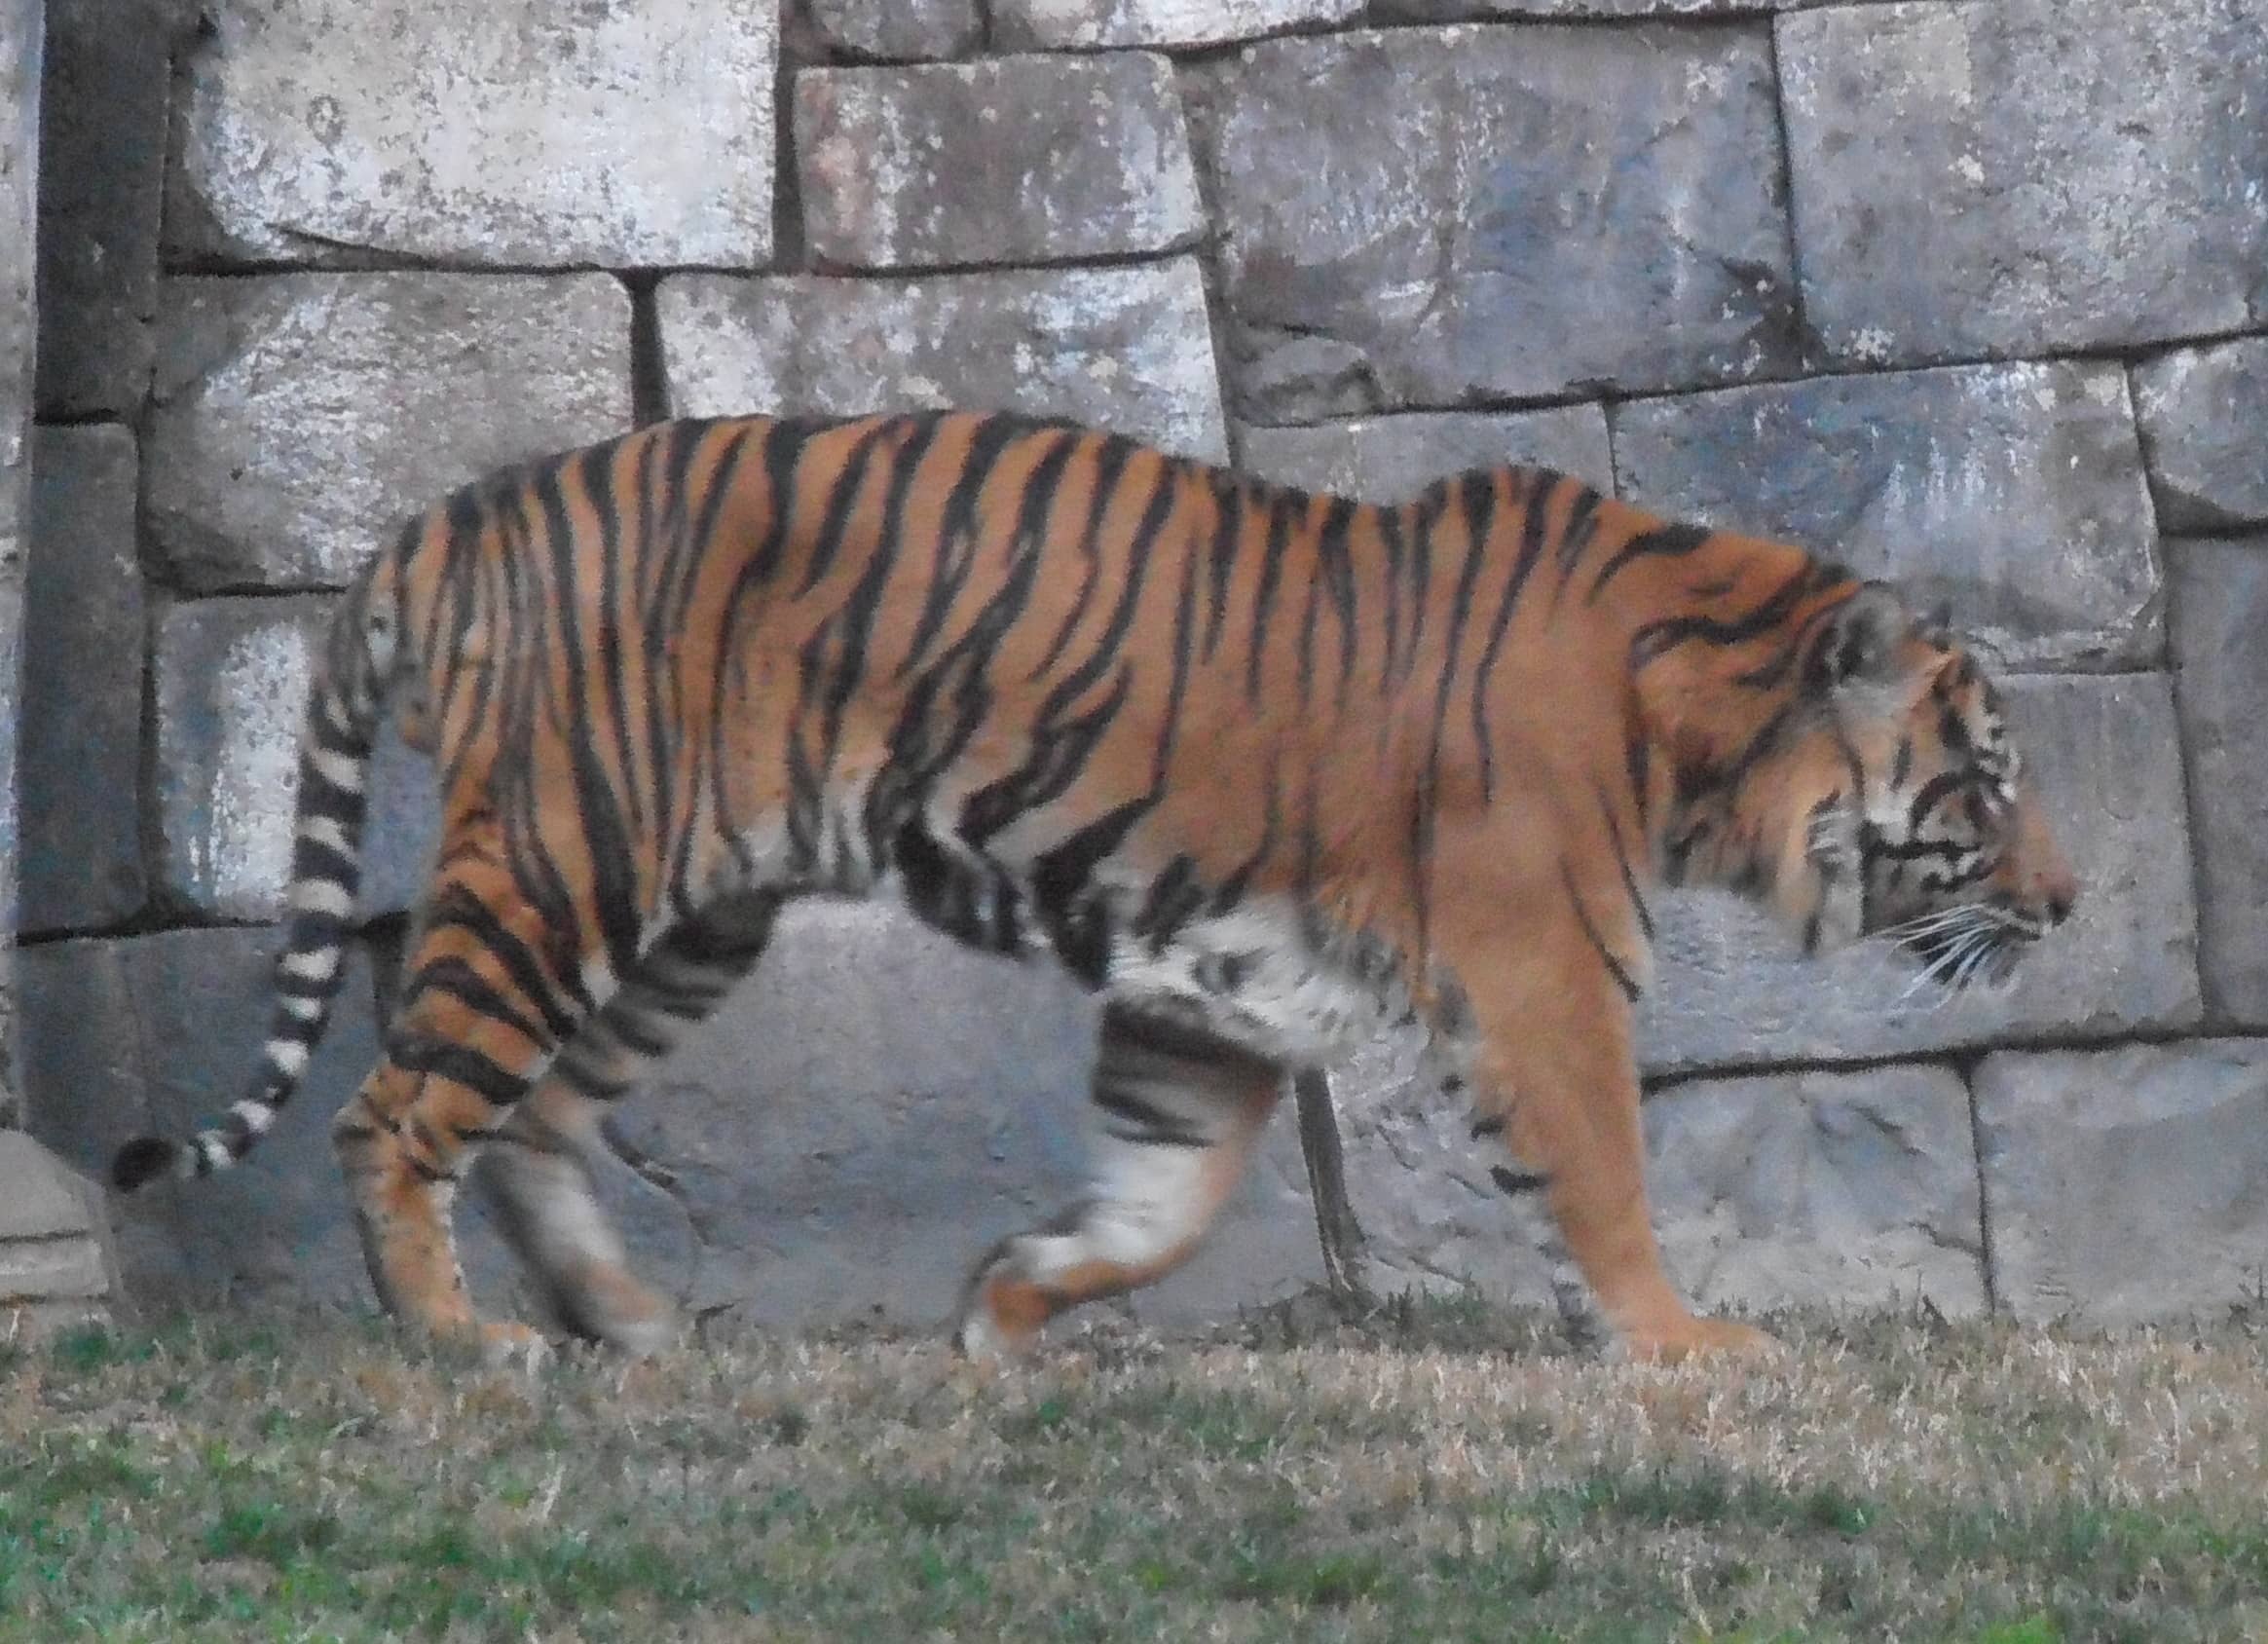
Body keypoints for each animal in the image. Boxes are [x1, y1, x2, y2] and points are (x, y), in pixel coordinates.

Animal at [112, 409, 2077, 1367]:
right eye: (1983, 779)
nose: (2067, 905)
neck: (1695, 723)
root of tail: (446, 519)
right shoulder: (1541, 974)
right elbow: (1601, 1176)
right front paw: (1688, 1346)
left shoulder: (1209, 998)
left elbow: (1166, 1205)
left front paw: (1002, 1309)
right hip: (560, 858)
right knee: (392, 1113)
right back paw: (463, 1346)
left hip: (687, 915)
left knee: (530, 1122)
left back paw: (634, 1328)